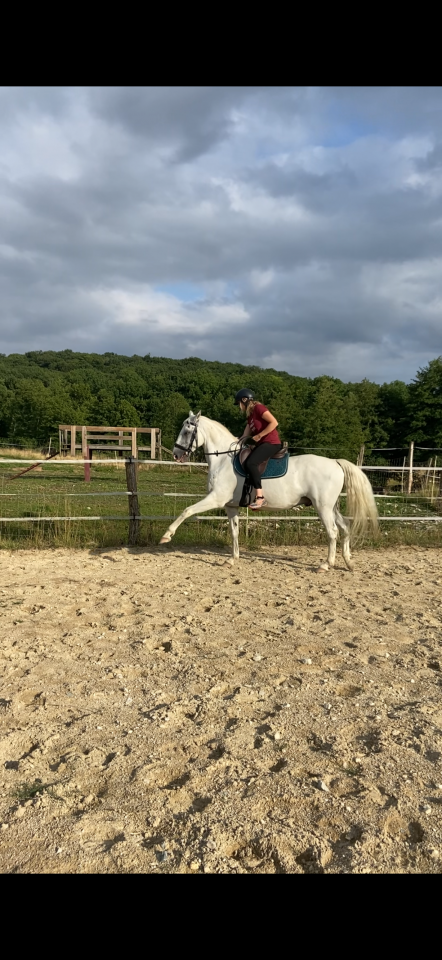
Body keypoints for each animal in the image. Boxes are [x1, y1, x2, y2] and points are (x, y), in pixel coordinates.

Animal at [159, 412, 379, 571]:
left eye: (186, 431)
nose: (177, 454)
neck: (222, 460)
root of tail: (335, 462)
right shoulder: (230, 506)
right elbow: (234, 532)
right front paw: (232, 559)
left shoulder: (215, 499)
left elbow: (187, 510)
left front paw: (167, 535)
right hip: (331, 507)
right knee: (345, 527)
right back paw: (348, 562)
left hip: (322, 507)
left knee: (332, 531)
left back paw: (326, 564)